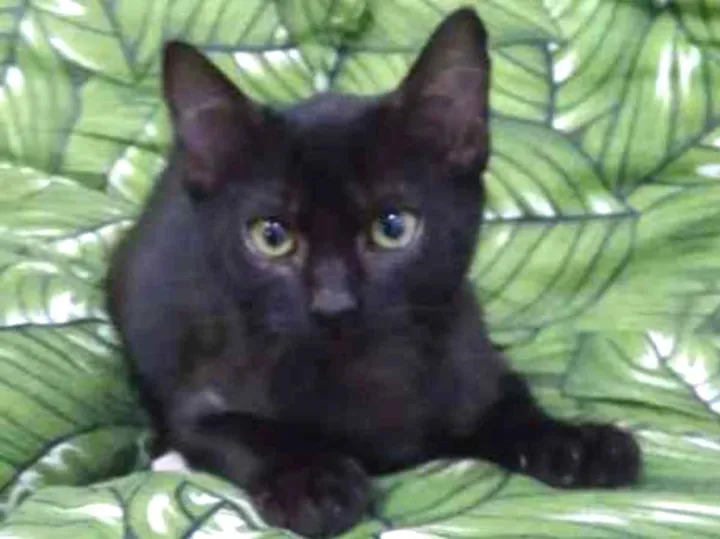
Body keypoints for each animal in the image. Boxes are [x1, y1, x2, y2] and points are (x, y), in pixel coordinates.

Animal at [106, 8, 641, 538]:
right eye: (272, 237)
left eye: (393, 227)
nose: (333, 303)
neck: (366, 376)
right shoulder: (202, 401)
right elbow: (246, 432)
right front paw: (313, 481)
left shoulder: (476, 365)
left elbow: (512, 404)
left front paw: (577, 443)